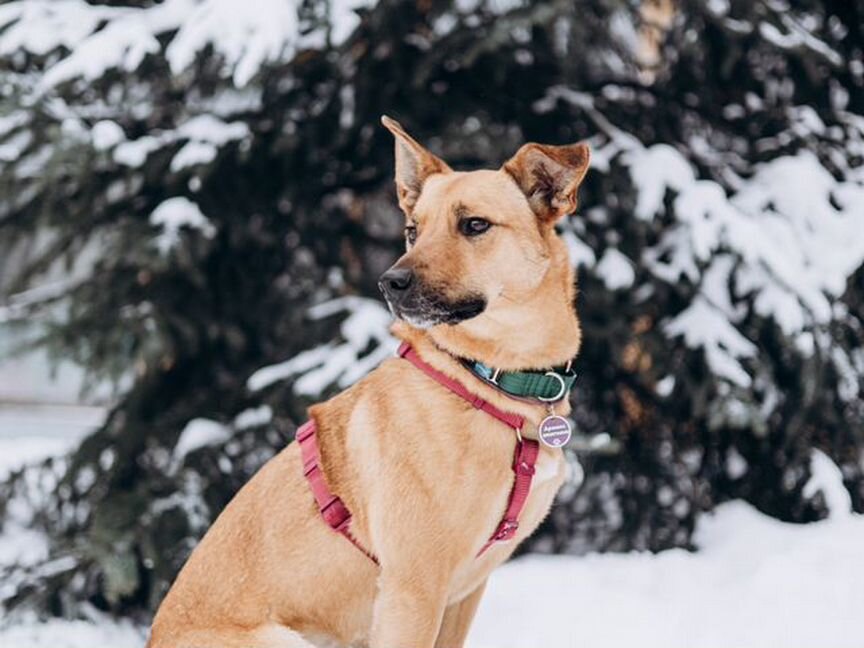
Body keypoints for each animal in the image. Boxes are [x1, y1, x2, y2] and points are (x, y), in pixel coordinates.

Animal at [148, 116, 592, 648]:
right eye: (412, 231)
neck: (488, 382)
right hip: (284, 639)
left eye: (474, 225)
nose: (389, 284)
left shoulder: (463, 592)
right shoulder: (413, 589)